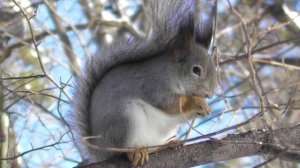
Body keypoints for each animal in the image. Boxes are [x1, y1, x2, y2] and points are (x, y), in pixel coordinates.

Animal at [71, 0, 217, 166]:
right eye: (196, 70)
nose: (209, 94)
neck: (173, 72)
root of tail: (100, 149)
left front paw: (206, 108)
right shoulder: (156, 84)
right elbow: (171, 104)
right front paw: (197, 102)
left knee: (153, 147)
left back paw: (168, 145)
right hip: (125, 119)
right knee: (122, 149)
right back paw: (135, 152)